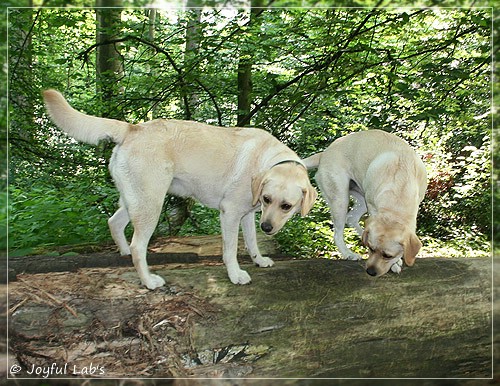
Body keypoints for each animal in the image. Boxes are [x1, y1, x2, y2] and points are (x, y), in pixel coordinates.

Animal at [43, 89, 316, 290]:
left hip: (135, 200)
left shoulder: (247, 214)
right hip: (151, 203)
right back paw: (148, 281)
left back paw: (123, 254)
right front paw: (235, 274)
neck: (266, 160)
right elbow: (230, 250)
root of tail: (132, 128)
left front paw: (259, 260)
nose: (267, 227)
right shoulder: (229, 213)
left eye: (286, 206)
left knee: (114, 223)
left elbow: (251, 241)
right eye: (269, 199)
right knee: (138, 245)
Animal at [302, 131, 428, 276]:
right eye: (371, 249)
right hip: (340, 199)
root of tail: (325, 153)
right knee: (338, 234)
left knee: (351, 218)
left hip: (361, 199)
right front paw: (395, 264)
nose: (370, 272)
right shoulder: (372, 207)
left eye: (387, 256)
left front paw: (396, 262)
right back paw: (348, 254)